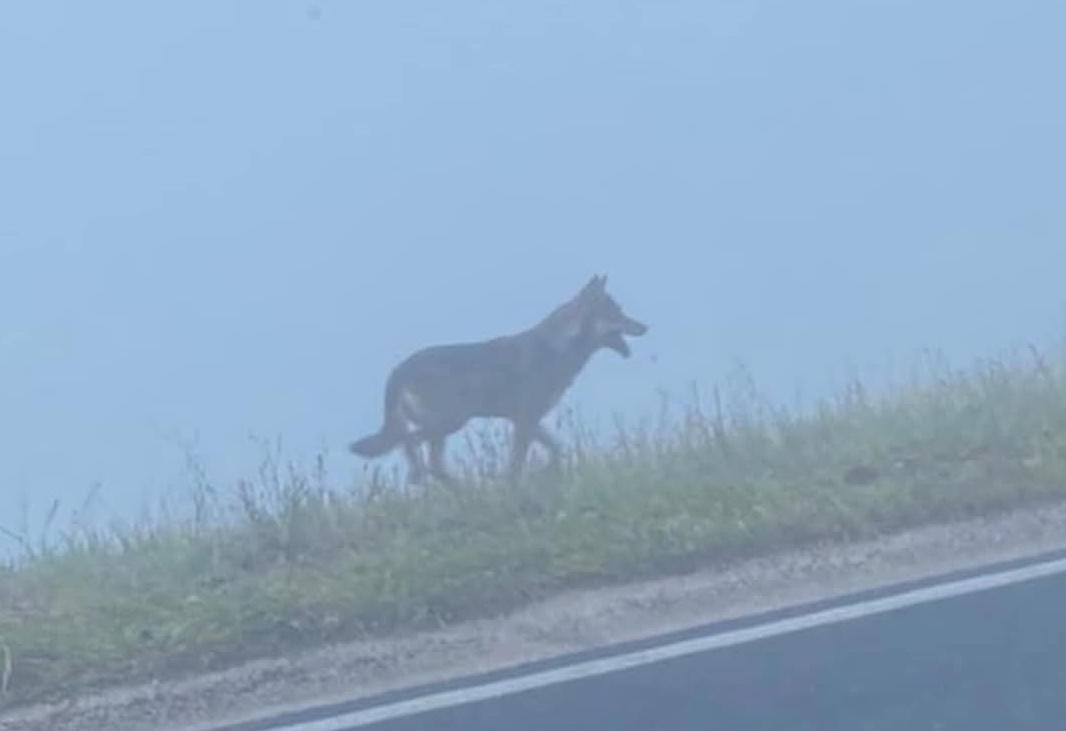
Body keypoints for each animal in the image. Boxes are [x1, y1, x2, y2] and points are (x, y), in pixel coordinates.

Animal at [349, 275, 647, 484]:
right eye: (616, 313)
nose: (646, 326)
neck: (557, 348)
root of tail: (397, 369)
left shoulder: (528, 420)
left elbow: (556, 449)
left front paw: (550, 474)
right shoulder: (525, 420)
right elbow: (517, 464)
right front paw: (515, 487)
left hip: (444, 428)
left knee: (430, 461)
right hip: (451, 422)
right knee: (410, 444)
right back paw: (421, 478)